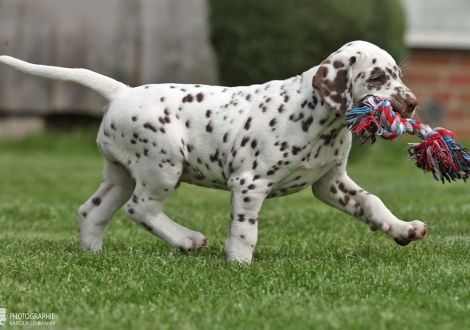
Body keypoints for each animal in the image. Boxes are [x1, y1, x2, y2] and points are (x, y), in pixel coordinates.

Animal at [0, 41, 426, 262]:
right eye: (376, 77)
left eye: (398, 76)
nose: (411, 104)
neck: (318, 118)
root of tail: (122, 92)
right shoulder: (250, 184)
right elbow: (245, 230)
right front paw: (238, 263)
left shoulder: (331, 183)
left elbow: (372, 203)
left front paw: (402, 228)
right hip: (163, 166)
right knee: (141, 209)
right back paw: (186, 239)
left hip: (121, 174)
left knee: (92, 210)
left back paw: (92, 253)